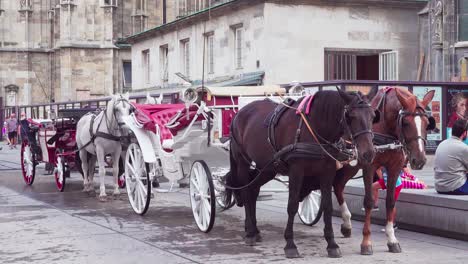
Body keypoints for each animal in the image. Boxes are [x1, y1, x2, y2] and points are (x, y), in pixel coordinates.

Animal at [228, 88, 380, 258]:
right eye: (350, 116)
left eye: (373, 116)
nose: (368, 153)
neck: (315, 127)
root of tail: (239, 113)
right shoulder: (297, 171)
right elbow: (292, 205)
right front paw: (290, 244)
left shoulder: (327, 172)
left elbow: (327, 206)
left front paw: (331, 244)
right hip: (242, 162)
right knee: (246, 192)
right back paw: (249, 233)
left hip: (267, 167)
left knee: (253, 190)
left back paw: (254, 230)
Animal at [332, 87, 436, 255]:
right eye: (405, 122)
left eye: (427, 123)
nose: (419, 160)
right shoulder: (369, 166)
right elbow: (368, 201)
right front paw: (366, 242)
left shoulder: (395, 167)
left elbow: (390, 201)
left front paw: (392, 239)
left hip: (350, 165)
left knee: (338, 185)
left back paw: (346, 224)